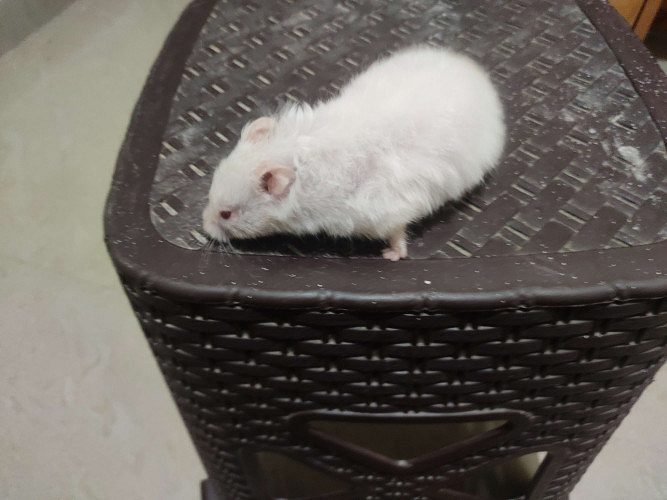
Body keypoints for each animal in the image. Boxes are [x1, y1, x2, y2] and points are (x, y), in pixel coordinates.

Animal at [202, 45, 505, 260]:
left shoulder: (385, 211)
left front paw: (391, 255)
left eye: (226, 214)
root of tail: (478, 75)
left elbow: (397, 232)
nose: (204, 228)